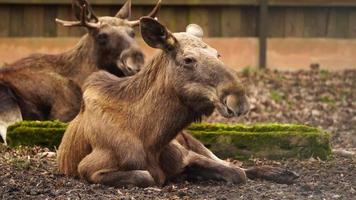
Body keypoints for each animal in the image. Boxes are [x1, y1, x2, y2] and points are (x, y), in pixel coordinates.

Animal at [57, 17, 298, 188]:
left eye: (217, 54)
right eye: (188, 59)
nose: (238, 99)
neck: (151, 138)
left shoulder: (187, 155)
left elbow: (237, 172)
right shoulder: (88, 168)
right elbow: (146, 176)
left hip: (195, 143)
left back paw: (283, 172)